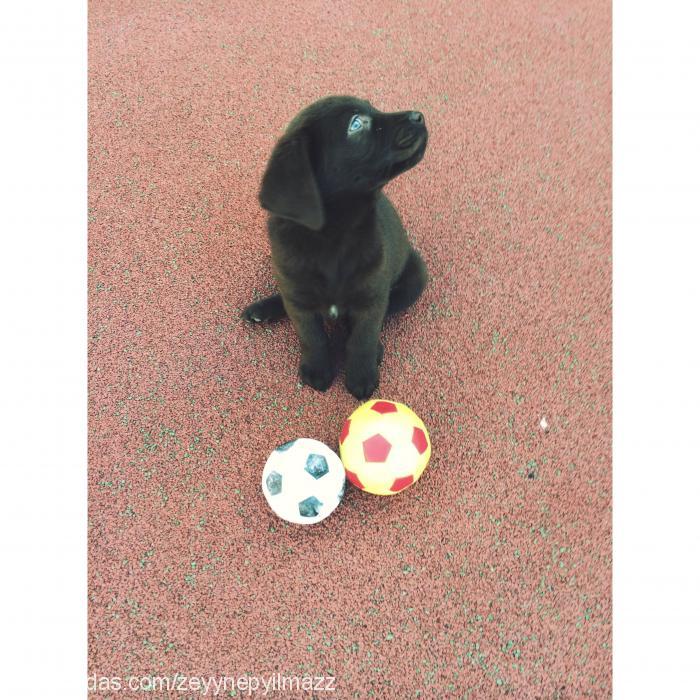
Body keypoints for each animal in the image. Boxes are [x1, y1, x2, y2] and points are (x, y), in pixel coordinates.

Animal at [243, 95, 430, 400]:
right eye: (356, 124)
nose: (419, 116)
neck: (333, 238)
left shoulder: (372, 298)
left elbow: (362, 338)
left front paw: (361, 376)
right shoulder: (298, 297)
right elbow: (312, 337)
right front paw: (317, 369)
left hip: (415, 276)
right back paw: (263, 309)